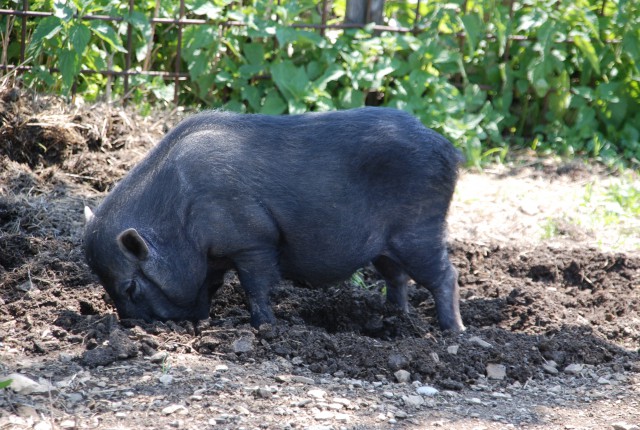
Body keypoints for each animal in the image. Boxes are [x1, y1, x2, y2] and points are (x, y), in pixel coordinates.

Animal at [84, 106, 464, 330]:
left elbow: (256, 286)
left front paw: (264, 327)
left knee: (445, 275)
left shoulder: (253, 241)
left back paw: (452, 331)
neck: (178, 214)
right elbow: (212, 284)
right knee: (397, 277)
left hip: (419, 229)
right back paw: (394, 318)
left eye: (130, 287)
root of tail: (448, 148)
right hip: (385, 247)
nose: (130, 325)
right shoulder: (216, 256)